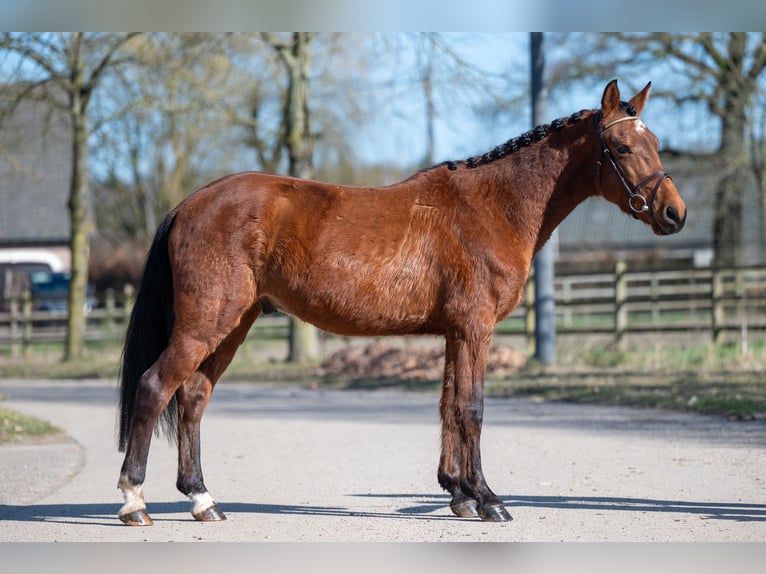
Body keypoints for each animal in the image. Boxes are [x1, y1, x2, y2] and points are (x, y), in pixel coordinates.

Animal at [115, 80, 688, 528]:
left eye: (656, 142)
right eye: (622, 146)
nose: (674, 213)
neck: (492, 206)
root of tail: (190, 204)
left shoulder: (456, 332)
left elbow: (449, 406)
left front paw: (458, 494)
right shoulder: (475, 329)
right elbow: (472, 409)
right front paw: (489, 500)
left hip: (233, 325)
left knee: (192, 398)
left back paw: (203, 500)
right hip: (206, 324)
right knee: (154, 387)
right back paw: (134, 501)